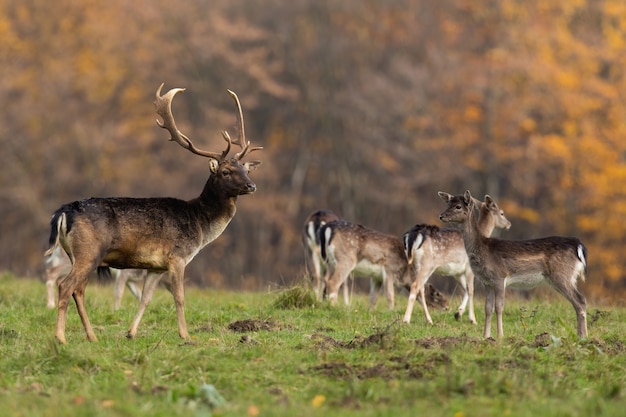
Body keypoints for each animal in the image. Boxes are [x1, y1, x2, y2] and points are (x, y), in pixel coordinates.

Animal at [44, 83, 258, 342]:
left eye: (246, 170)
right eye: (226, 171)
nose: (252, 186)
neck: (199, 224)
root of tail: (63, 213)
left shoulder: (156, 266)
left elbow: (145, 299)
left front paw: (131, 332)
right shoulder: (177, 256)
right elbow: (179, 297)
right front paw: (186, 335)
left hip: (78, 255)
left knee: (79, 289)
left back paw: (92, 336)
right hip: (88, 251)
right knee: (66, 286)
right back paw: (60, 337)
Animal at [402, 193, 510, 324]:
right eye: (502, 213)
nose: (509, 224)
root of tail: (411, 236)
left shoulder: (456, 273)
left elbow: (465, 289)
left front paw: (458, 313)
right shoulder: (469, 267)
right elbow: (471, 290)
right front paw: (472, 319)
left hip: (415, 264)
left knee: (421, 288)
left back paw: (429, 319)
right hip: (427, 264)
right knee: (415, 286)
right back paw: (406, 320)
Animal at [438, 189, 584, 338]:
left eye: (458, 206)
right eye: (448, 203)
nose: (441, 216)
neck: (482, 248)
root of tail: (577, 246)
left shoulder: (499, 276)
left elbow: (499, 306)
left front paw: (500, 336)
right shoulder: (486, 282)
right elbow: (488, 308)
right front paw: (486, 336)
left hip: (562, 275)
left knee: (580, 300)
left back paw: (582, 336)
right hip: (565, 277)